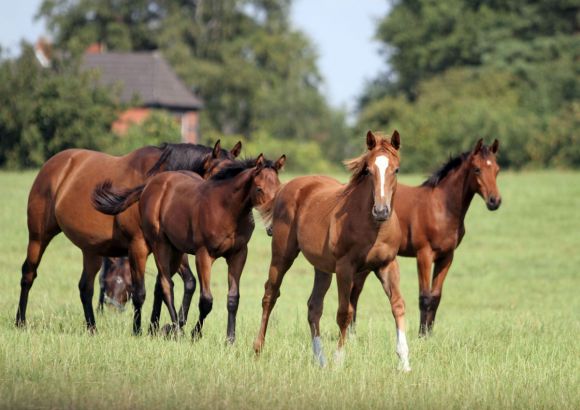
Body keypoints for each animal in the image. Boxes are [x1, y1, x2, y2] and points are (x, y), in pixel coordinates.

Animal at [17, 139, 241, 334]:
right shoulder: (138, 246)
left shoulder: (169, 249)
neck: (159, 185)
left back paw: (92, 328)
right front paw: (139, 330)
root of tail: (55, 164)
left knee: (85, 287)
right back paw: (20, 321)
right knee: (29, 273)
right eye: (218, 174)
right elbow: (140, 291)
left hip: (91, 250)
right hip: (38, 236)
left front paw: (159, 327)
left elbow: (175, 284)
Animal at [91, 152, 288, 342]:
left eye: (279, 188)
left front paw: (230, 339)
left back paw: (162, 328)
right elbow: (206, 300)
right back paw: (171, 331)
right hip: (159, 245)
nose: (272, 227)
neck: (226, 209)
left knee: (163, 285)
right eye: (259, 188)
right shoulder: (203, 254)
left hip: (176, 251)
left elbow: (233, 298)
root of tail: (150, 184)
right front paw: (195, 334)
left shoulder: (238, 254)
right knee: (165, 285)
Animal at [251, 131, 410, 372]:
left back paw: (320, 360)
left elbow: (398, 306)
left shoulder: (387, 265)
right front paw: (339, 361)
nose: (381, 211)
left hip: (323, 268)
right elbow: (345, 313)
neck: (373, 227)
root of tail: (285, 188)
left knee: (313, 306)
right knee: (270, 294)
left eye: (397, 169)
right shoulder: (345, 269)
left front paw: (405, 362)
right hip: (281, 255)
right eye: (368, 170)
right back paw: (258, 349)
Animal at [342, 138, 500, 336]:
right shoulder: (424, 255)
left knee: (355, 291)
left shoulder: (446, 257)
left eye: (497, 169)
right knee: (354, 291)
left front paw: (429, 335)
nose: (495, 201)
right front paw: (421, 335)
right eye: (477, 169)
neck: (440, 207)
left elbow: (436, 296)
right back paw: (351, 333)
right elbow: (424, 297)